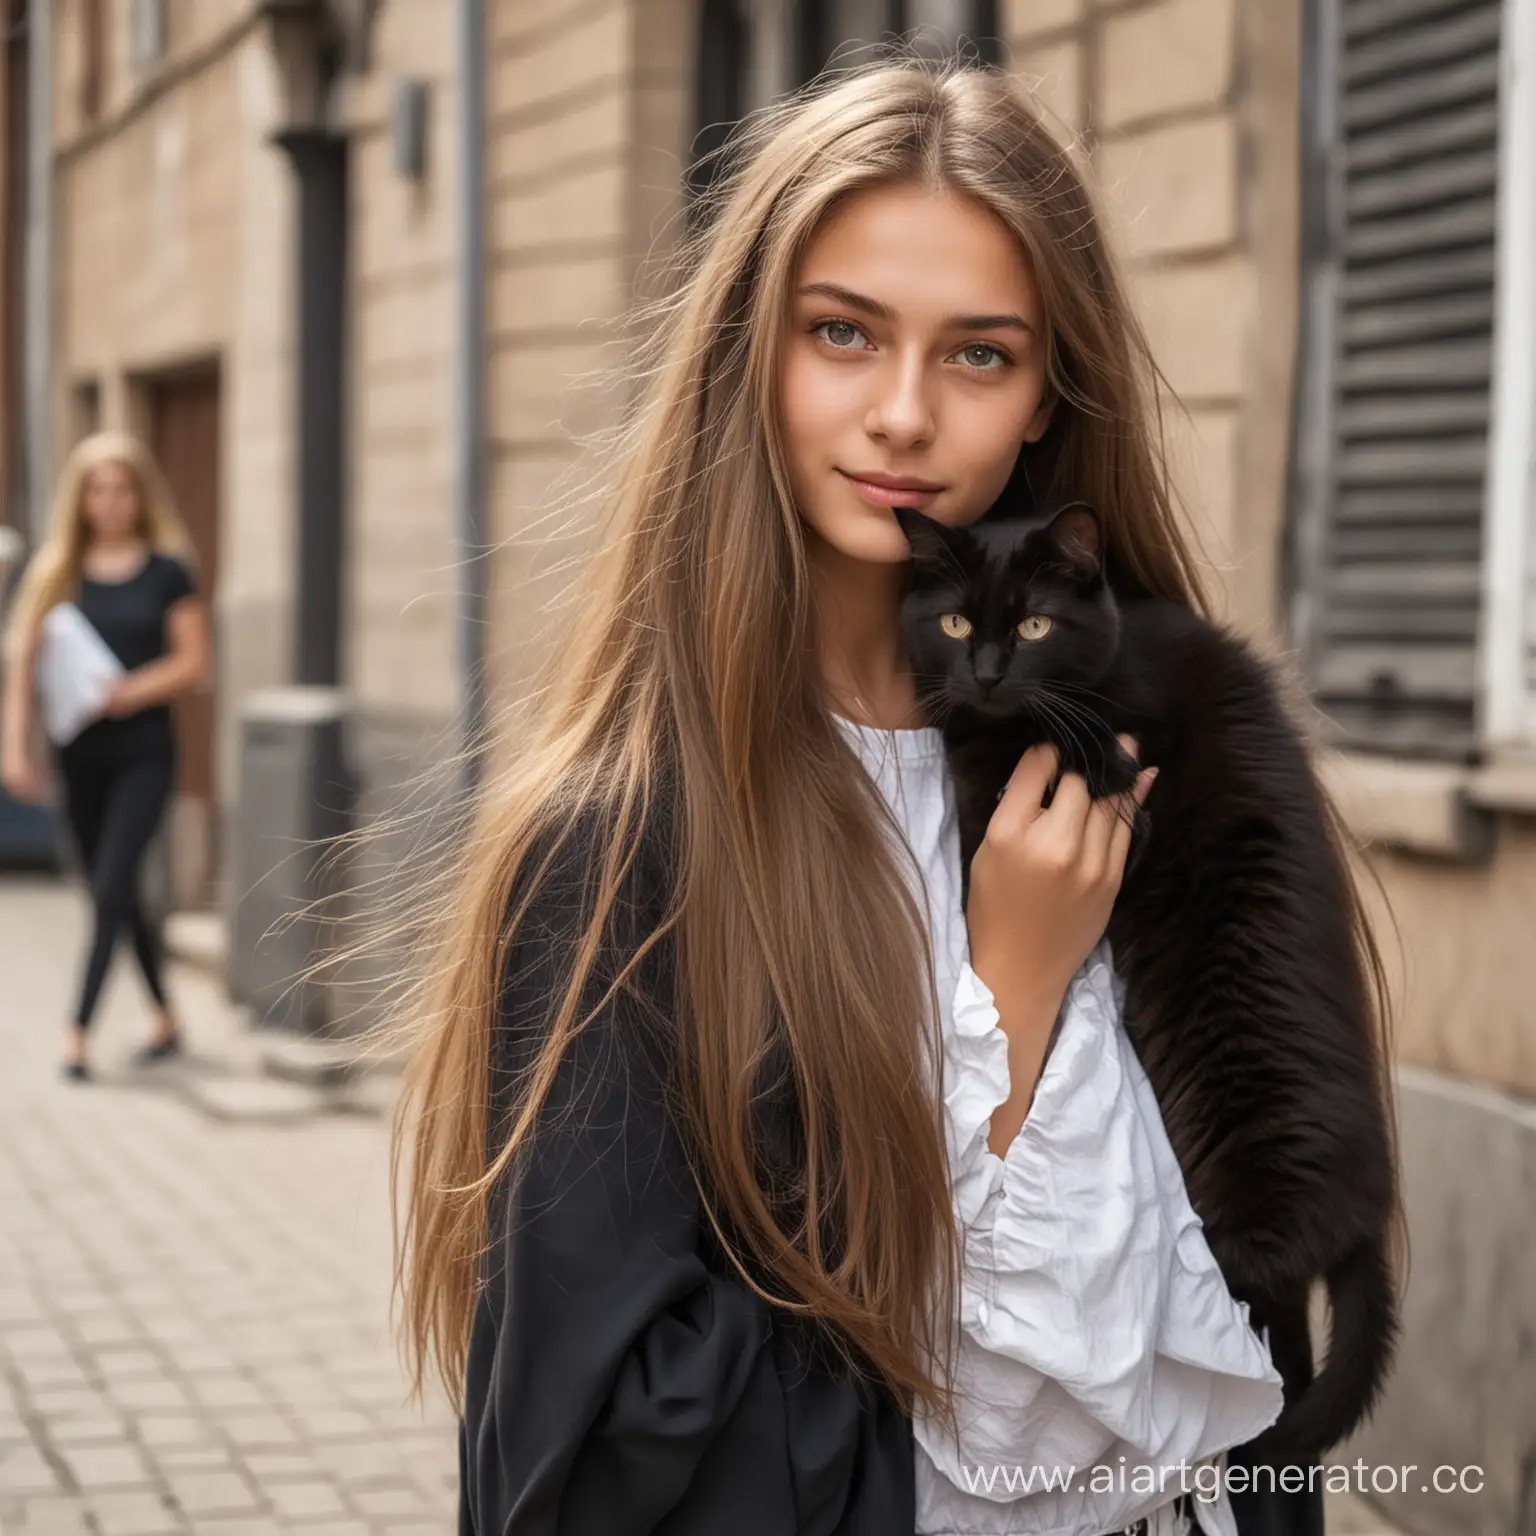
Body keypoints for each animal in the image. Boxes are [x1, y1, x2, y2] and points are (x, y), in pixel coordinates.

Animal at [897, 500, 1400, 1462]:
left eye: (1034, 626)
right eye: (953, 626)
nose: (986, 675)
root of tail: (1370, 1210)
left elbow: (1071, 763)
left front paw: (1093, 758)